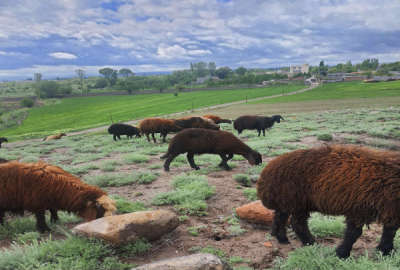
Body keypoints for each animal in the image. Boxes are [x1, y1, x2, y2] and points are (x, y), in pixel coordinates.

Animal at [256, 144, 400, 258]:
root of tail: (267, 171)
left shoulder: (388, 209)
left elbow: (390, 231)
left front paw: (386, 251)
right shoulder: (359, 209)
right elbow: (354, 233)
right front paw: (342, 254)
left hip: (288, 201)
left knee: (280, 217)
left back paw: (281, 238)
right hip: (296, 201)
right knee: (297, 223)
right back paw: (311, 243)